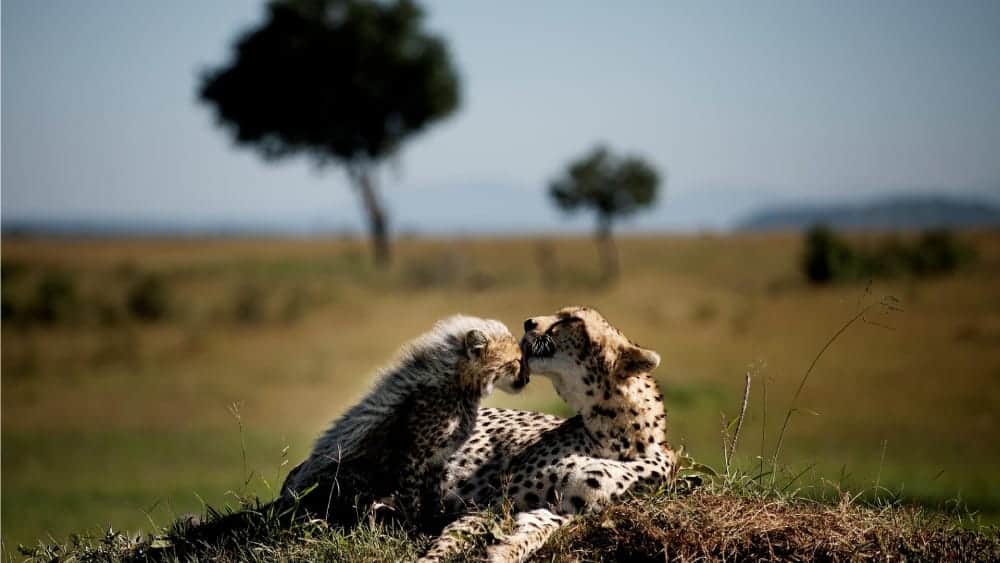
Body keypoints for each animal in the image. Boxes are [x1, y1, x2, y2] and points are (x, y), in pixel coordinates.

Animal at [422, 308, 680, 563]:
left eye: (573, 319)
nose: (528, 323)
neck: (616, 435)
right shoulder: (494, 499)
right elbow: (456, 535)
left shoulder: (563, 508)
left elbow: (538, 530)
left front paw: (504, 551)